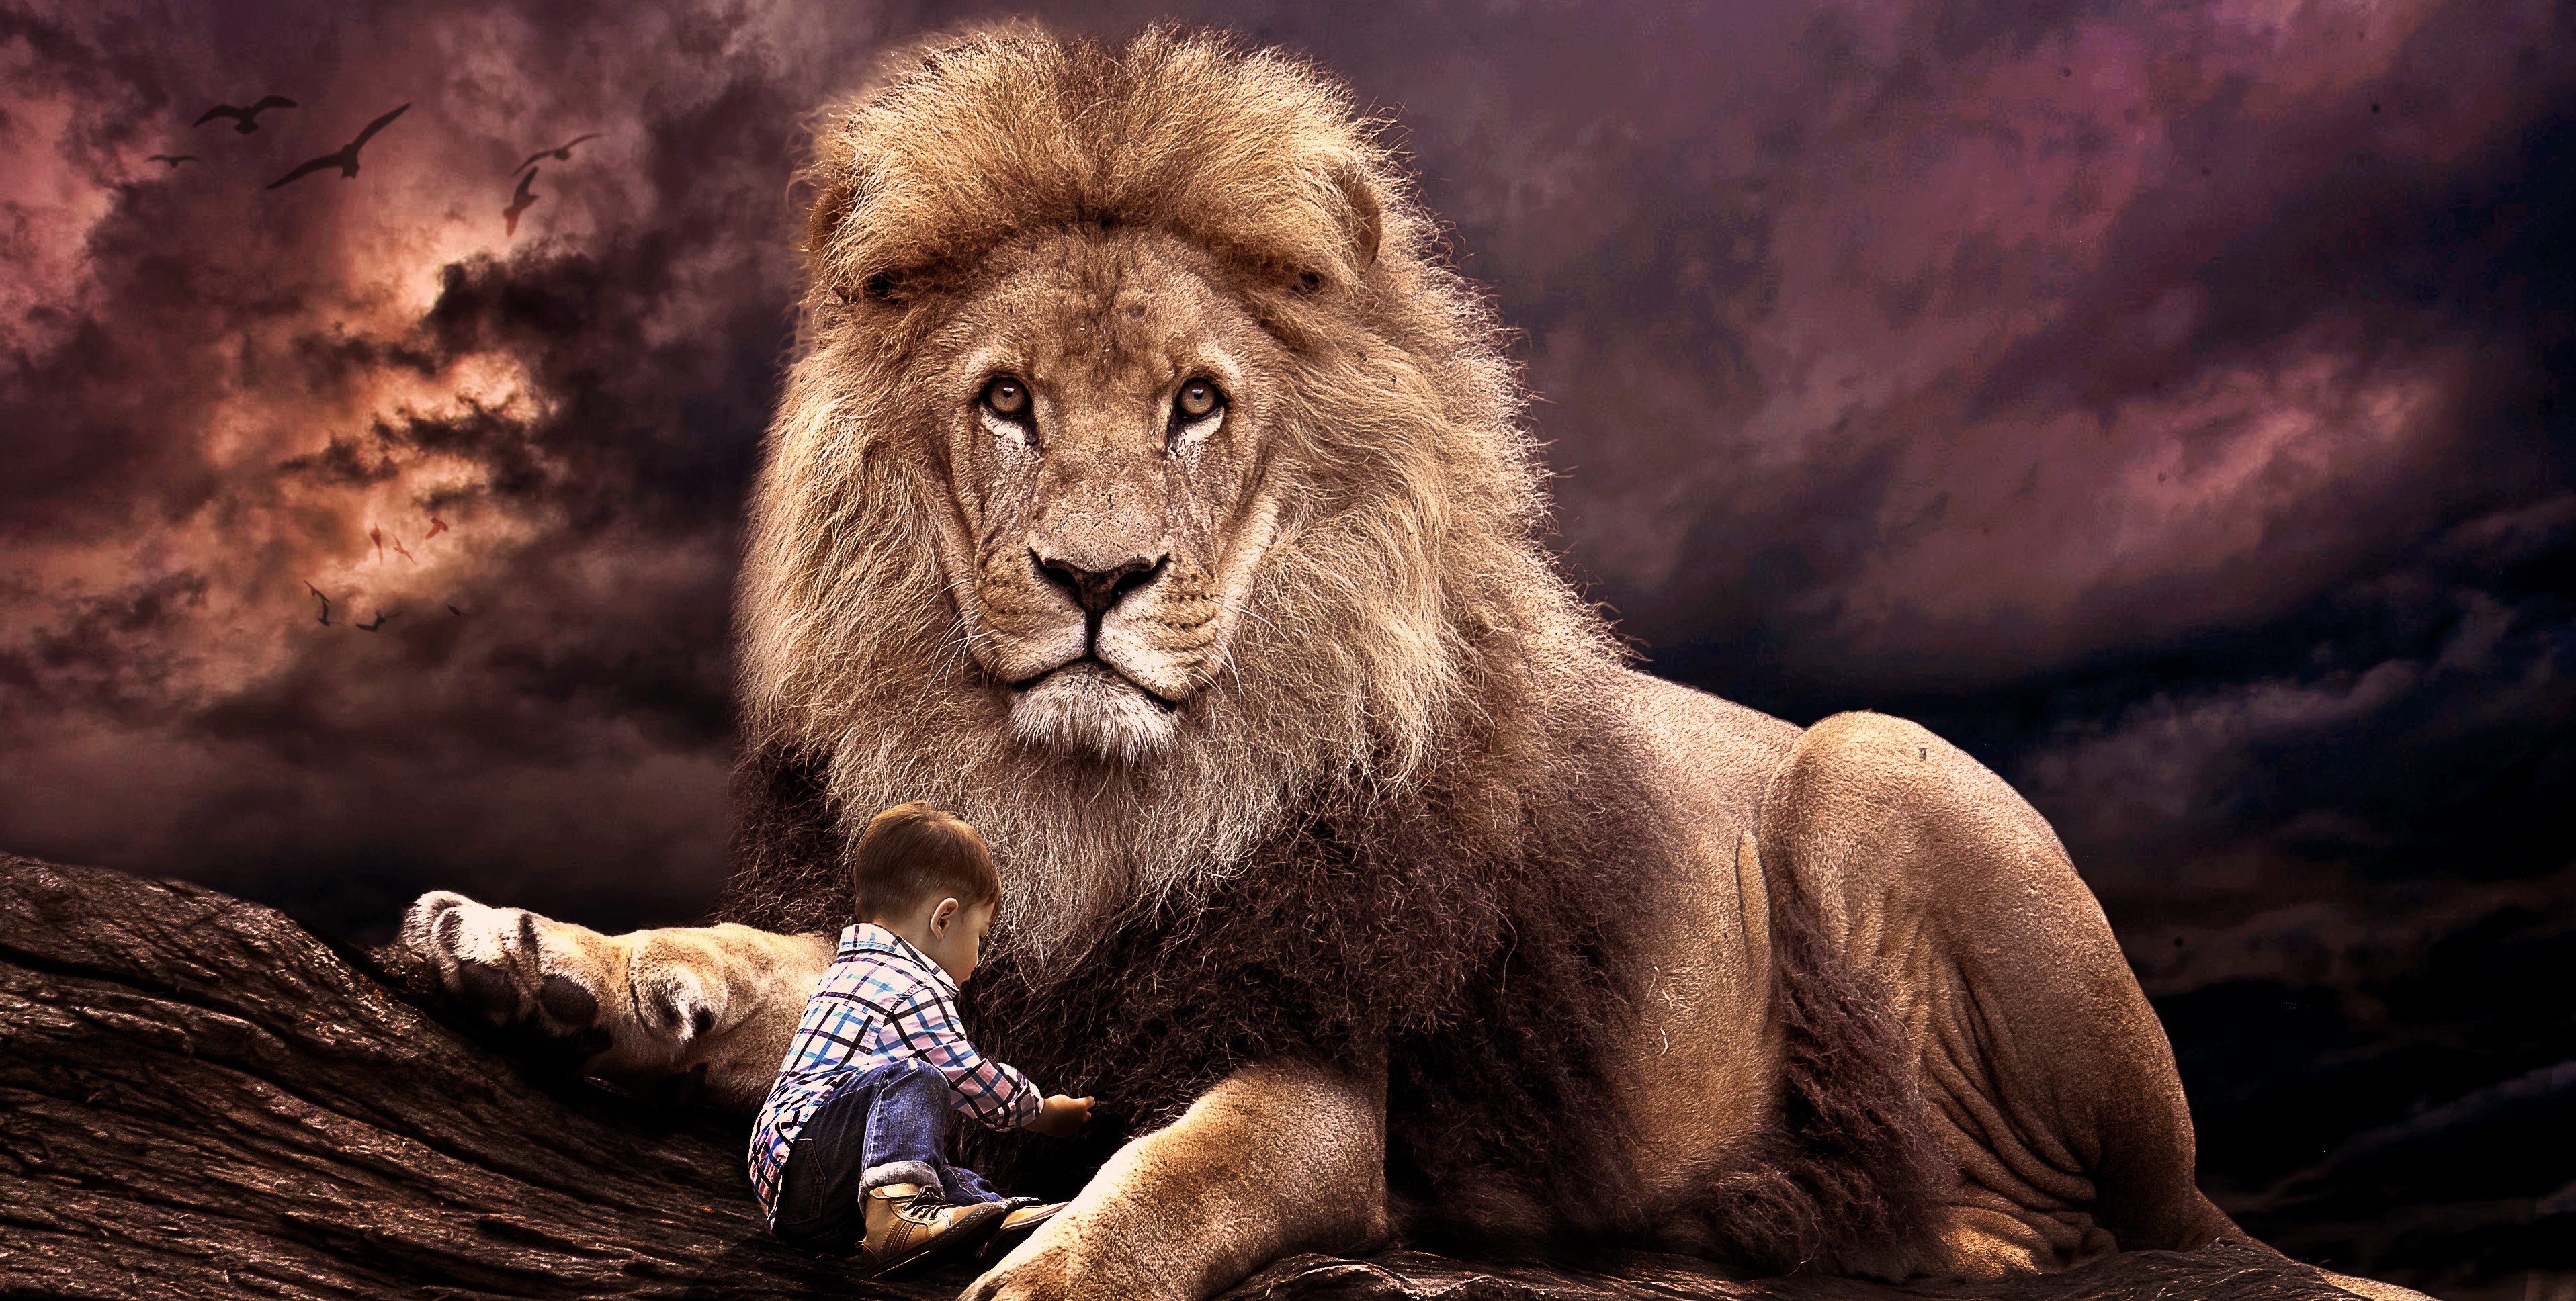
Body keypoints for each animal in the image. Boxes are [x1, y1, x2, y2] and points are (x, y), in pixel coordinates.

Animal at [398, 27, 2427, 1301]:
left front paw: (1056, 1265)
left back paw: (1858, 1217)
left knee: (2096, 1220)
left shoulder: (1318, 1076)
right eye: (1006, 401)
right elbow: (777, 969)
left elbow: (1185, 1177)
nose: (1093, 578)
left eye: (1197, 404)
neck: (1090, 802)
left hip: (1872, 763)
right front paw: (542, 956)